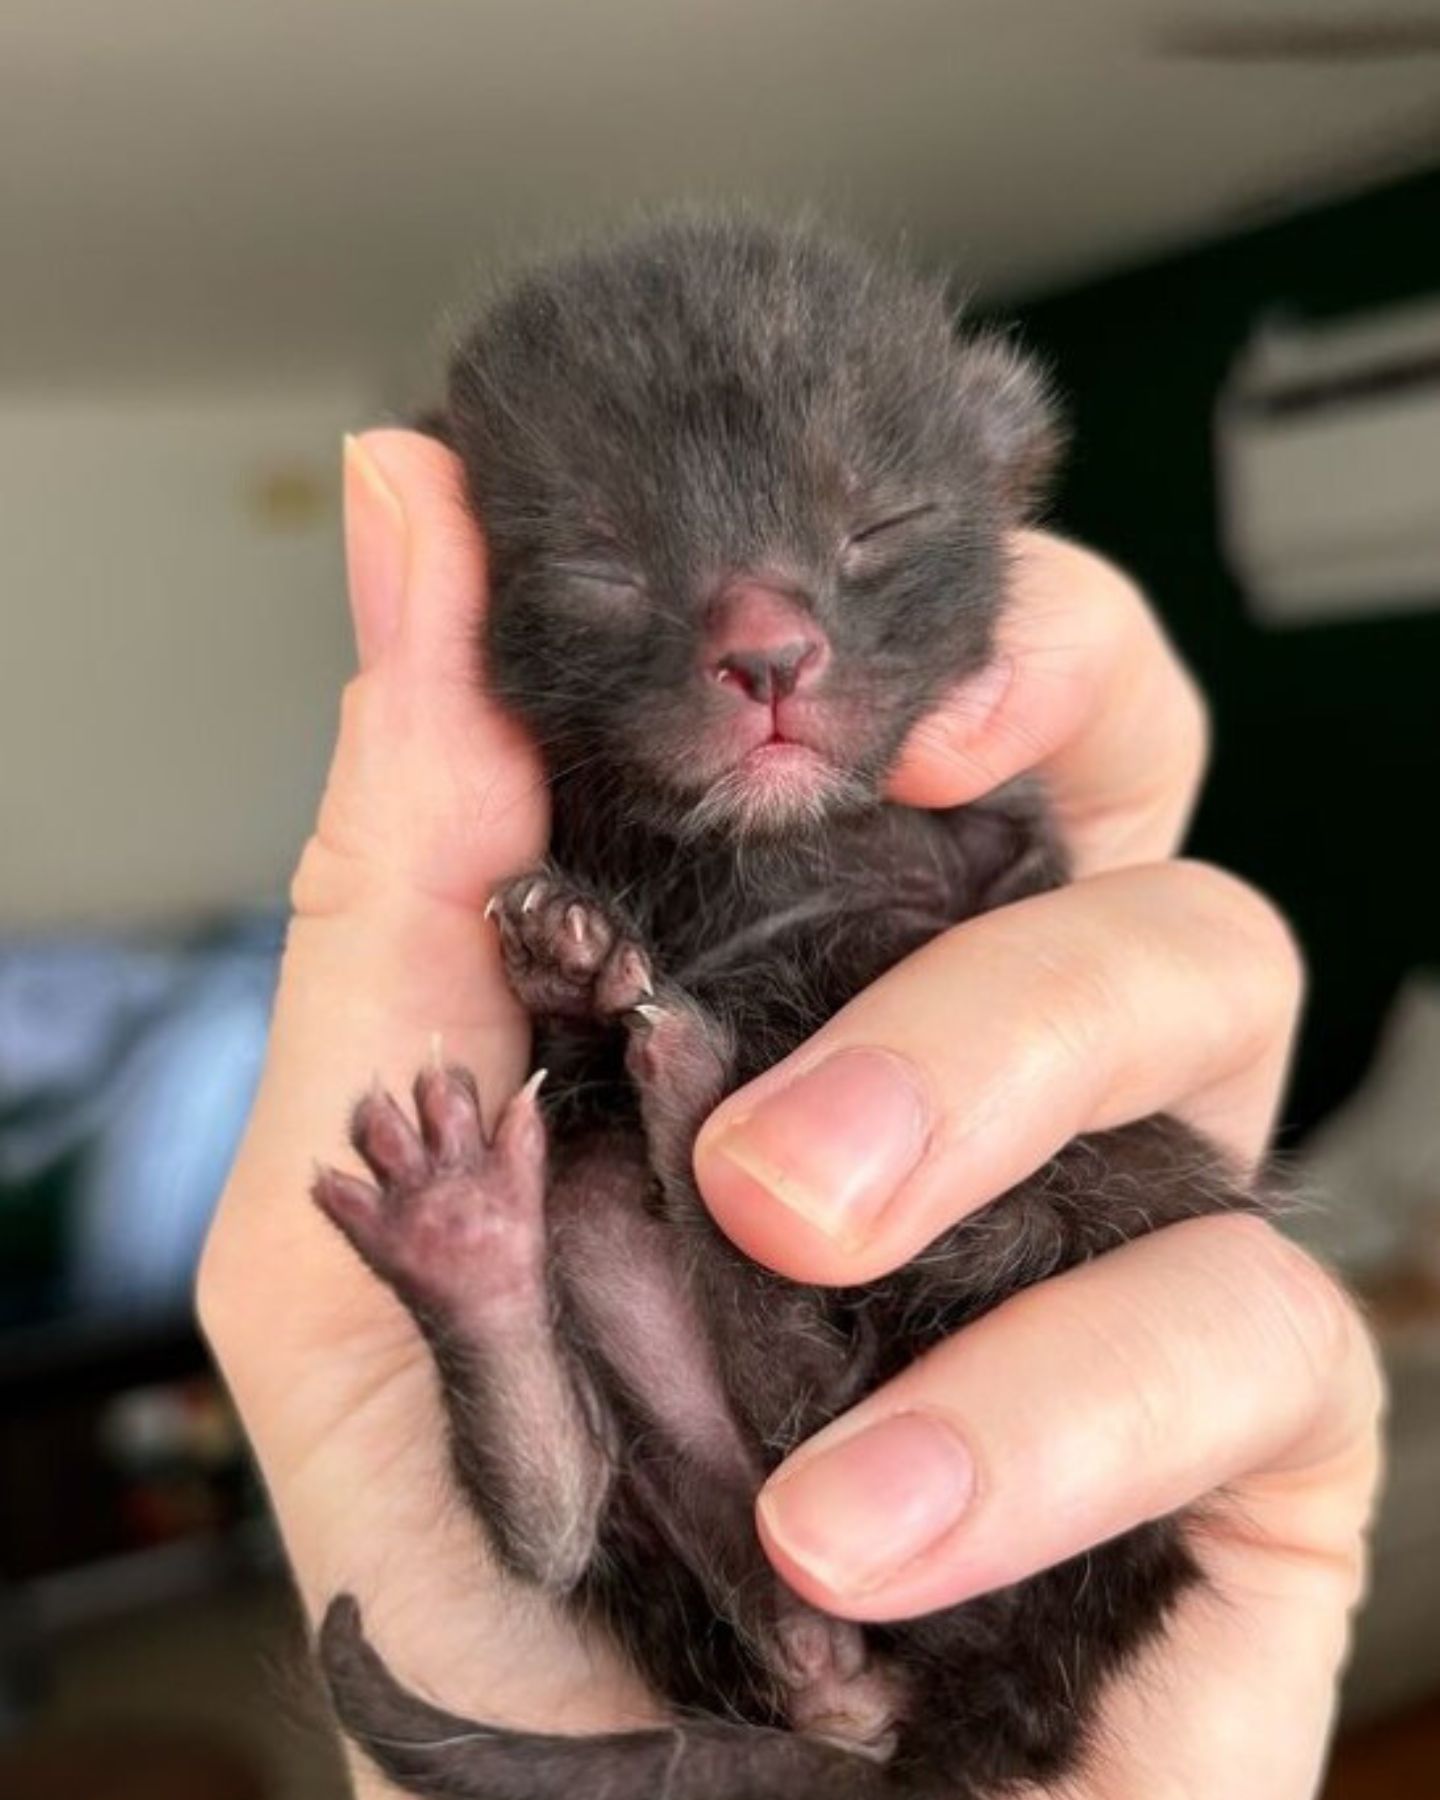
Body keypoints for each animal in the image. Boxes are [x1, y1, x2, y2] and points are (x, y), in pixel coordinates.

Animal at [309, 214, 1252, 1800]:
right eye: (598, 566)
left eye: (879, 526)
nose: (766, 651)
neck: (771, 848)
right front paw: (564, 954)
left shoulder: (1002, 844)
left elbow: (1005, 884)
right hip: (677, 1411)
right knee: (609, 1501)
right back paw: (480, 1237)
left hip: (1085, 1194)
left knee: (811, 1396)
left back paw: (671, 1096)